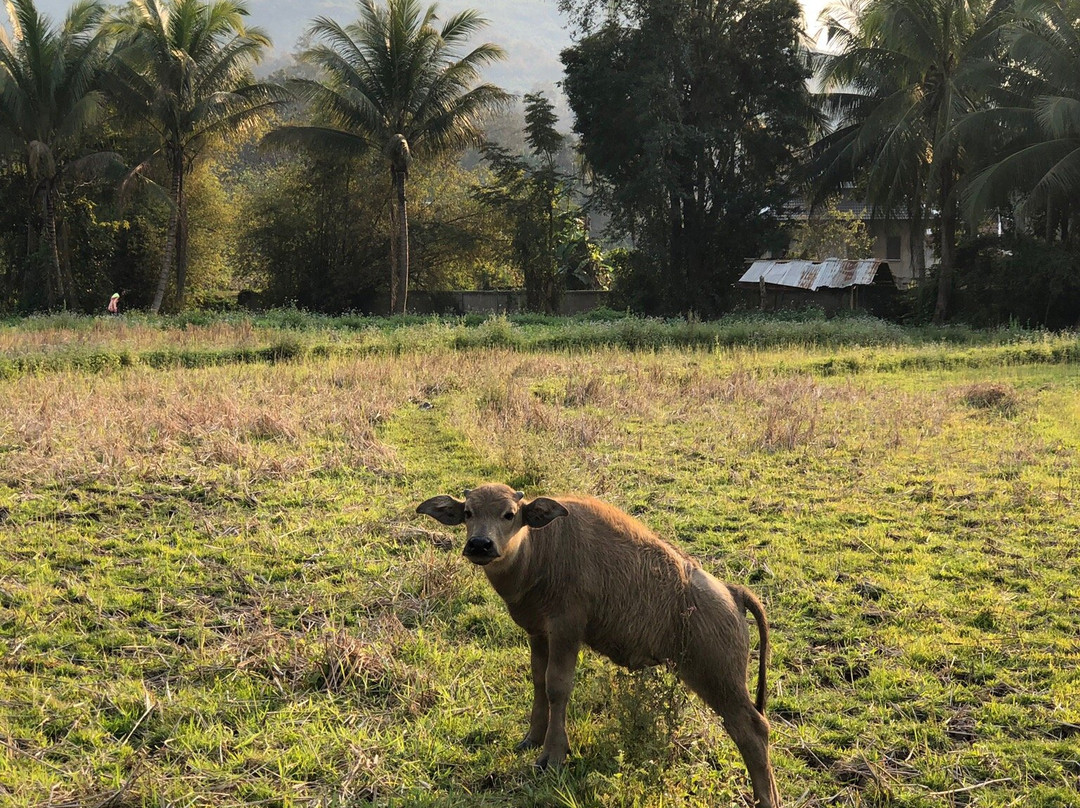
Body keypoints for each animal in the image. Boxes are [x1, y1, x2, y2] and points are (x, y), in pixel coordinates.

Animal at [416, 483, 781, 803]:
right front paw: (532, 739)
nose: (480, 544)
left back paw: (765, 798)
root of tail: (733, 592)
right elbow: (538, 682)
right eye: (468, 512)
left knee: (752, 729)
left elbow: (557, 687)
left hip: (718, 679)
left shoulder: (566, 631)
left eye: (509, 514)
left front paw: (552, 755)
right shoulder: (538, 633)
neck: (539, 551)